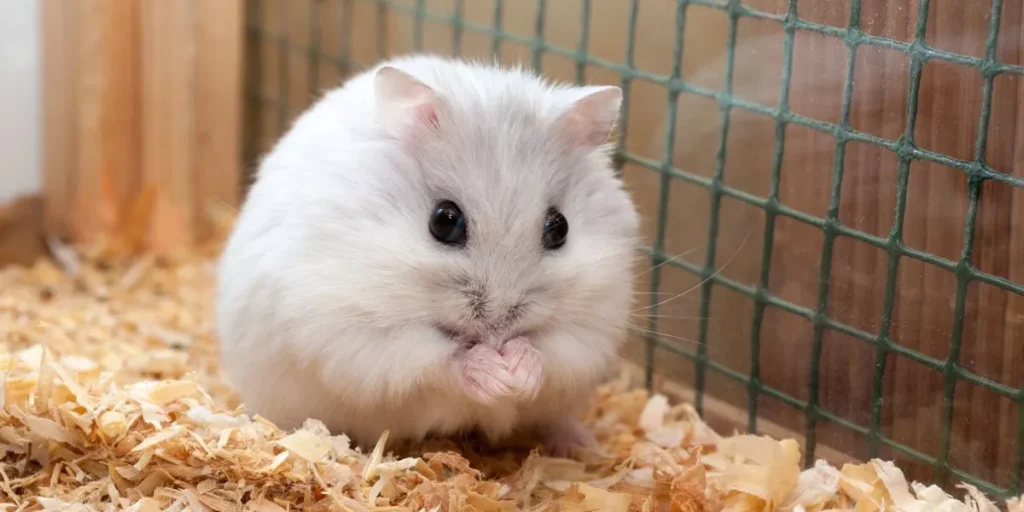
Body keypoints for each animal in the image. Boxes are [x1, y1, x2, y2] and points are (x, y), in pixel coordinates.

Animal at [215, 54, 639, 456]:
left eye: (560, 227)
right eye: (444, 221)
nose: (498, 330)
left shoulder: (593, 327)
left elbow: (552, 352)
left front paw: (517, 371)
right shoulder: (355, 330)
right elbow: (436, 359)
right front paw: (495, 374)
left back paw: (582, 446)